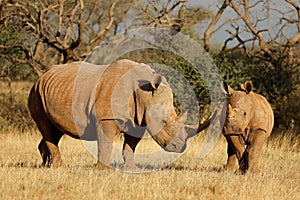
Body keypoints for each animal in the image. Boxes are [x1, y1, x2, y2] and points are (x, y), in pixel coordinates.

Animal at [29, 58, 210, 170]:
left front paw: (132, 169)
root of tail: (42, 76)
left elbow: (129, 147)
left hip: (51, 91)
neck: (144, 94)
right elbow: (105, 144)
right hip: (36, 92)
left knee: (54, 131)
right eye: (163, 121)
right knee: (47, 129)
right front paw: (102, 170)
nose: (181, 147)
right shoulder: (106, 117)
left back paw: (46, 166)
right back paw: (60, 167)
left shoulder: (138, 120)